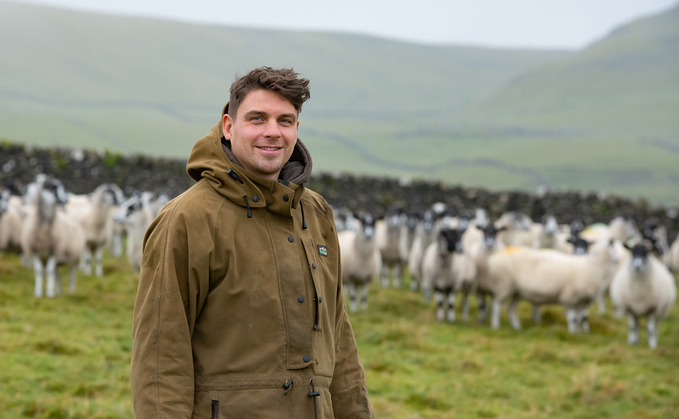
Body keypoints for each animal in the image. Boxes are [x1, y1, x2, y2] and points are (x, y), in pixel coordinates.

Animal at [486, 238, 620, 334]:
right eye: (613, 248)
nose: (618, 260)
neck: (593, 265)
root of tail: (498, 254)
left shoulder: (582, 300)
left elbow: (582, 318)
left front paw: (583, 332)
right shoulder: (569, 297)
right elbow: (572, 318)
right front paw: (573, 333)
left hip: (517, 291)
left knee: (511, 308)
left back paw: (517, 326)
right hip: (504, 285)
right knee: (496, 306)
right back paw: (495, 326)